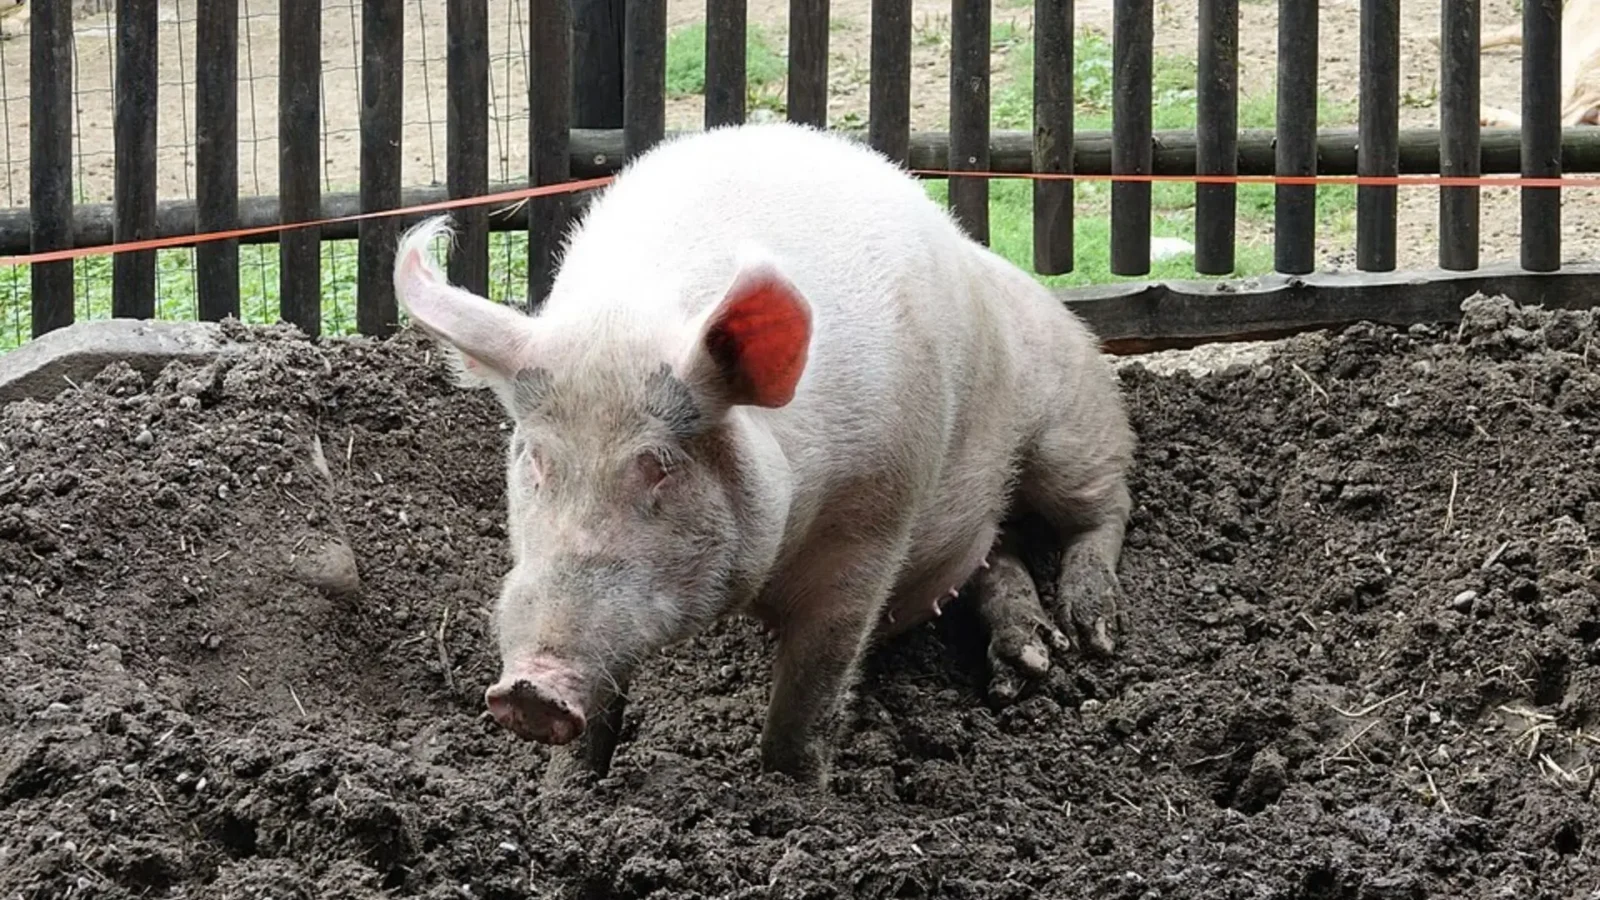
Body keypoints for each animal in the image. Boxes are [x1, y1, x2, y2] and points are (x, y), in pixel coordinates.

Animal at [391, 121, 1135, 789]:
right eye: (536, 458)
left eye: (660, 465)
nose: (529, 691)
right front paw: (565, 796)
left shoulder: (872, 524)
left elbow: (812, 690)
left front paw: (794, 797)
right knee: (999, 554)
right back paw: (1030, 662)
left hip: (1070, 421)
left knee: (1105, 506)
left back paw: (1092, 634)